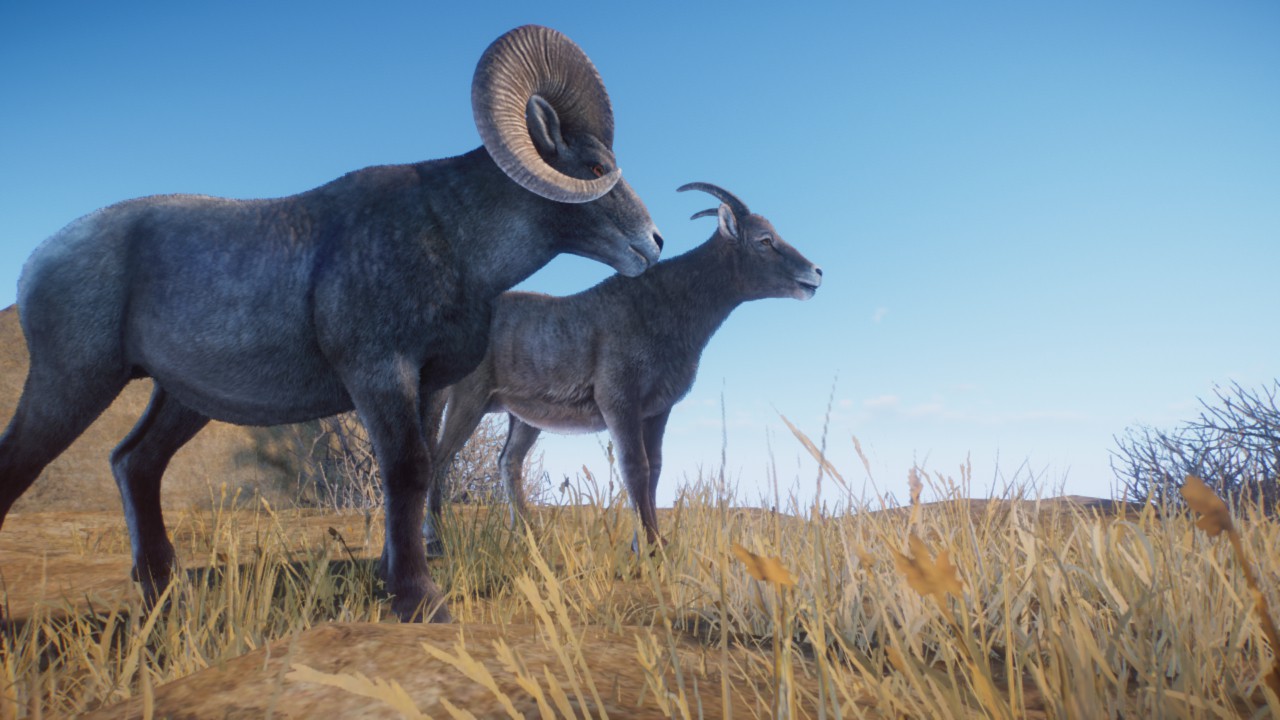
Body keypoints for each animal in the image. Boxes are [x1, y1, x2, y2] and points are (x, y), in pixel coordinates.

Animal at [0, 25, 665, 623]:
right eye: (596, 165)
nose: (653, 242)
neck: (450, 233)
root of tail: (38, 262)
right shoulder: (380, 375)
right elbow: (407, 469)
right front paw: (421, 602)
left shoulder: (426, 386)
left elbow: (419, 471)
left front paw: (395, 581)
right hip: (73, 383)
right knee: (25, 466)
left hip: (181, 401)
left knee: (134, 463)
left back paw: (166, 601)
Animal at [420, 182, 821, 554]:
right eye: (764, 240)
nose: (815, 273)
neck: (666, 306)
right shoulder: (619, 404)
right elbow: (635, 467)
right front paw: (646, 547)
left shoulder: (656, 412)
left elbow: (654, 468)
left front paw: (656, 544)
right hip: (468, 401)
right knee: (439, 460)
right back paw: (435, 544)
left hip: (523, 419)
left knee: (508, 461)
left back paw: (528, 540)